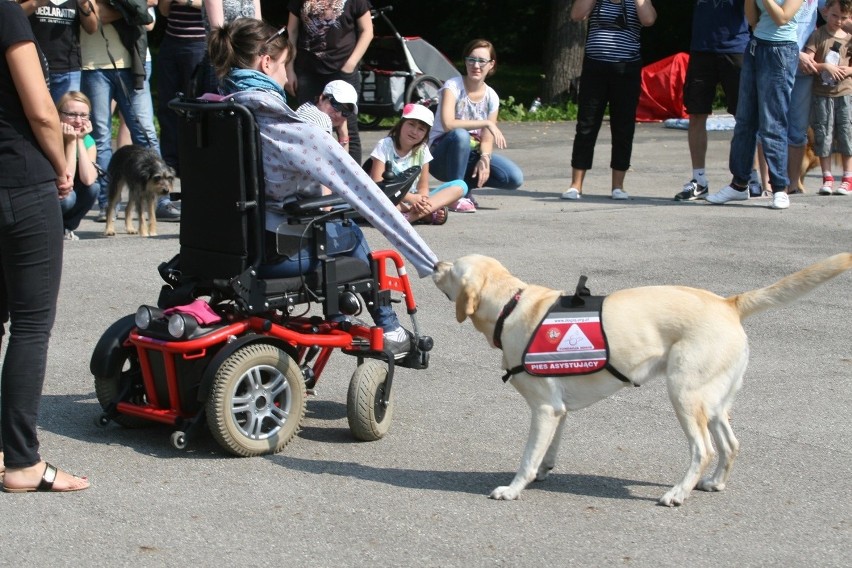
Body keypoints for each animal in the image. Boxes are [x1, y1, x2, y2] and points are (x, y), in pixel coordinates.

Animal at [436, 253, 848, 506]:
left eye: (453, 270)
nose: (436, 263)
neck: (511, 305)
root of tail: (728, 302)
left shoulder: (544, 408)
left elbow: (527, 457)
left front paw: (513, 488)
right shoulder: (558, 409)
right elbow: (547, 450)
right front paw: (543, 471)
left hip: (683, 394)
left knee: (704, 450)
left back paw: (678, 493)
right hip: (713, 402)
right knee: (730, 445)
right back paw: (715, 482)